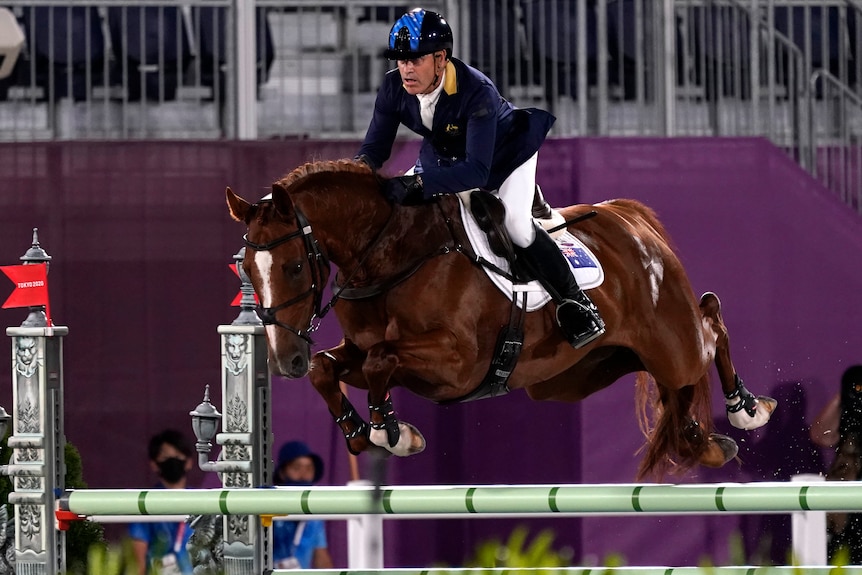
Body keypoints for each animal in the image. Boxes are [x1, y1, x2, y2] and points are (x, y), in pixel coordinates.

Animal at [224, 160, 776, 480]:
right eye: (246, 267)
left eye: (294, 266)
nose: (285, 361)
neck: (391, 253)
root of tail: (629, 219)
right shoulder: (363, 355)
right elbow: (332, 368)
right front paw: (363, 432)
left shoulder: (456, 364)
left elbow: (383, 360)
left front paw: (390, 431)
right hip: (579, 375)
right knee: (675, 394)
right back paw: (706, 445)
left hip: (672, 342)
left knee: (710, 322)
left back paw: (748, 409)